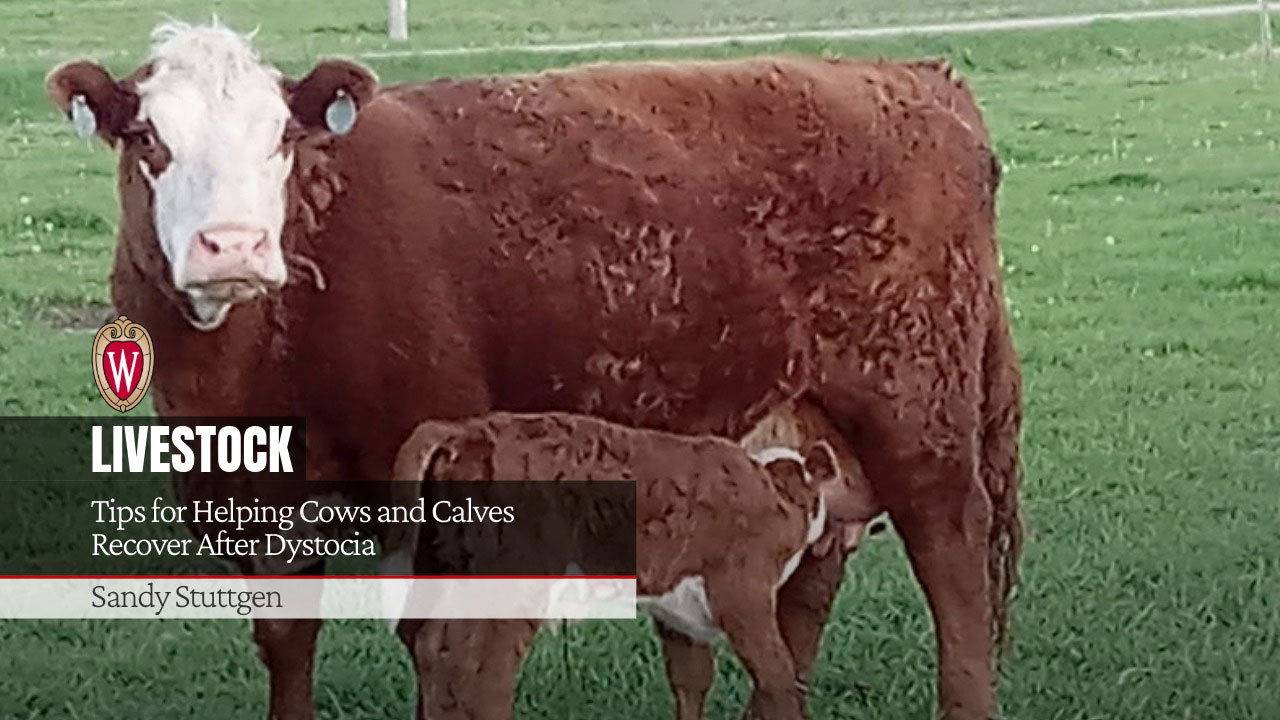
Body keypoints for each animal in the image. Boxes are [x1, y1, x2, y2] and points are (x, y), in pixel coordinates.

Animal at [388, 411, 869, 720]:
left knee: (433, 646)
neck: (776, 490)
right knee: (481, 667)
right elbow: (777, 674)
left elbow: (691, 679)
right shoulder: (742, 592)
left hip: (450, 567)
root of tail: (464, 431)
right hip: (514, 580)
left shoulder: (678, 609)